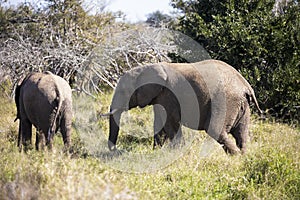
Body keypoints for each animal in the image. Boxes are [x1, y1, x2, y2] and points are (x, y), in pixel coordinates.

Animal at [105, 59, 262, 155]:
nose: (116, 150)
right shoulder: (159, 97)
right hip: (242, 105)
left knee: (215, 130)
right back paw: (243, 157)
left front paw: (176, 153)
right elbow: (159, 124)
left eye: (123, 91)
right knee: (241, 133)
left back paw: (235, 157)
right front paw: (156, 153)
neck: (147, 68)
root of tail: (245, 85)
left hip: (226, 101)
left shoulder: (168, 95)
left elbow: (170, 123)